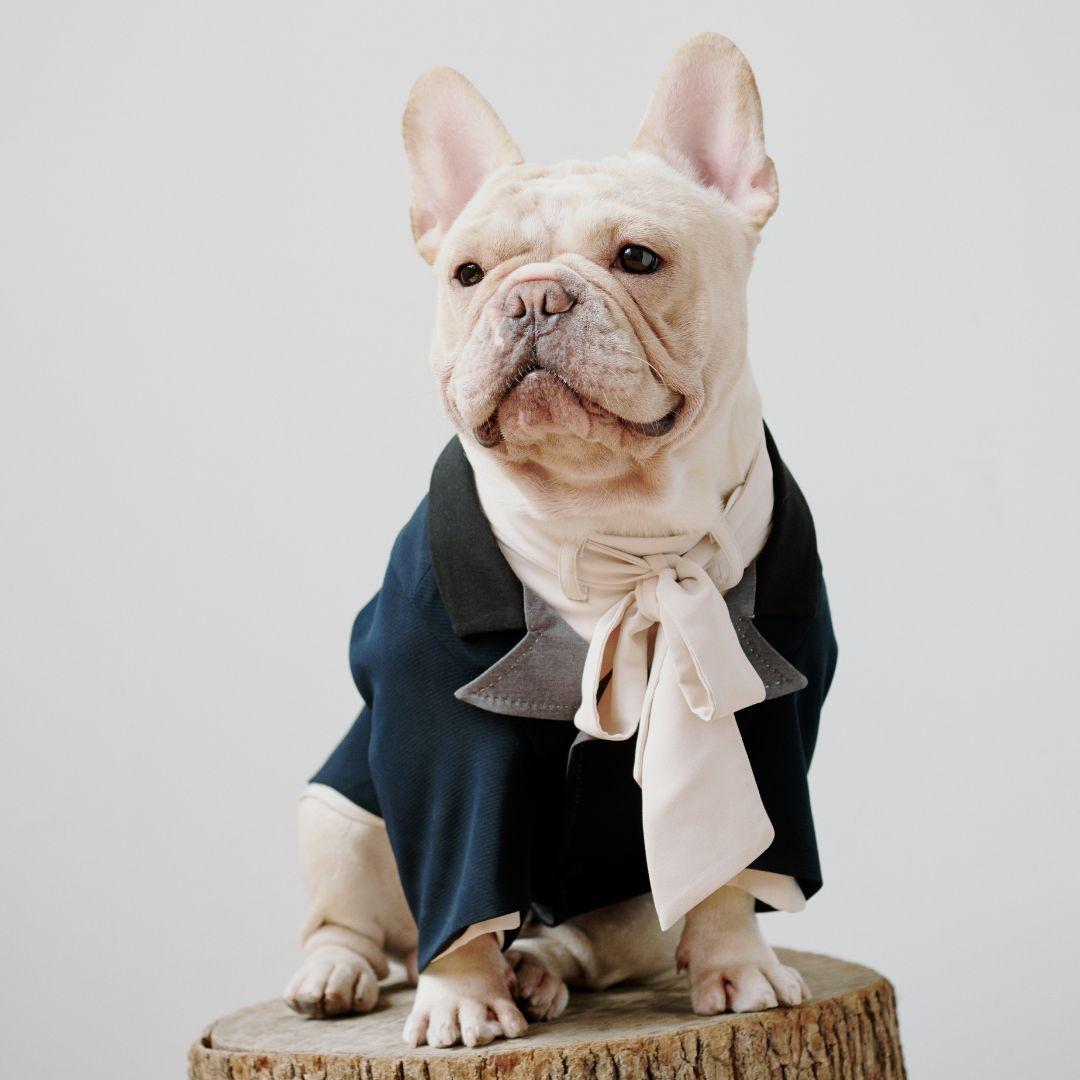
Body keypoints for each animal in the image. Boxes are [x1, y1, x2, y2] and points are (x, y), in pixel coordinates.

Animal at [285, 33, 812, 1045]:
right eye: (468, 275)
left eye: (639, 258)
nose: (530, 297)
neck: (615, 534)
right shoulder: (441, 745)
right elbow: (460, 878)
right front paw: (462, 1003)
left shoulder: (769, 712)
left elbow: (733, 860)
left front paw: (737, 965)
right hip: (341, 818)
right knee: (362, 925)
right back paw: (339, 974)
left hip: (633, 905)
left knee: (579, 941)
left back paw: (538, 968)